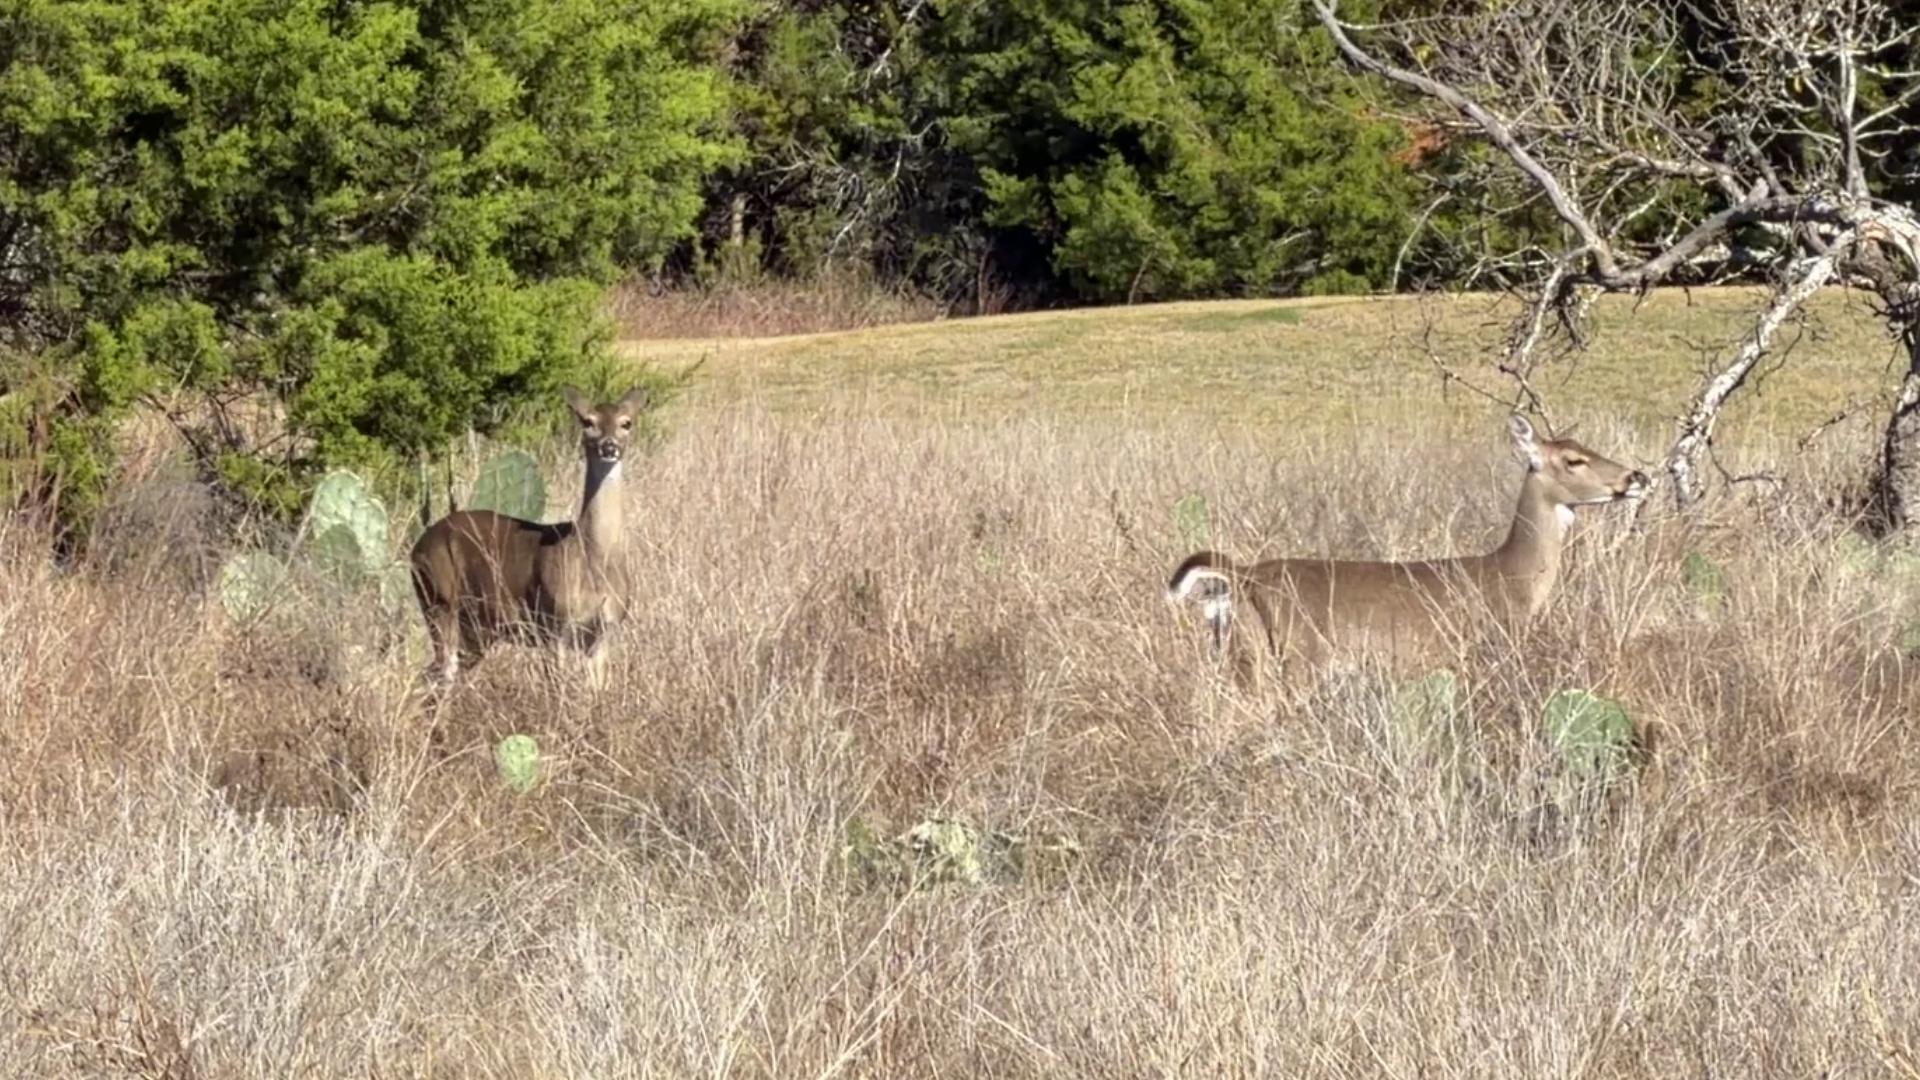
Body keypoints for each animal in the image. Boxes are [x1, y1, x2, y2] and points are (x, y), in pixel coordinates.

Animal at [409, 386, 647, 694]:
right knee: (440, 673)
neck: (591, 558)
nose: (609, 446)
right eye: (588, 422)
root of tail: (416, 549)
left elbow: (597, 691)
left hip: (476, 629)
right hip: (438, 599)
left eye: (626, 422)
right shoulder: (553, 623)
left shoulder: (605, 630)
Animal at [1166, 414, 1650, 685]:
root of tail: (1242, 576)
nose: (1638, 476)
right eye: (1573, 460)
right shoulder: (1487, 648)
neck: (1511, 577)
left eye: (1584, 447)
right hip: (1291, 659)